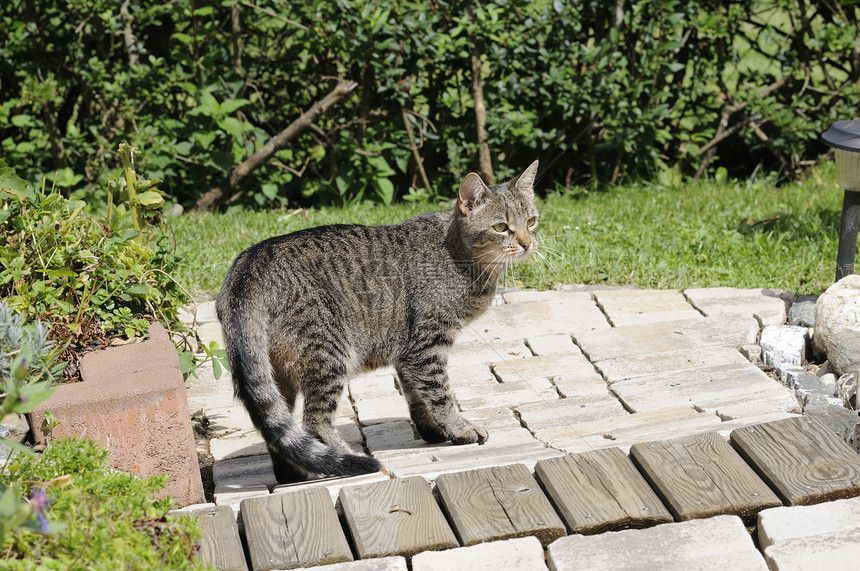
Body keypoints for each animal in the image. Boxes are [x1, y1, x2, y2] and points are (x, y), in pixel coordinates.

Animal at [215, 159, 536, 480]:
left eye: (531, 221)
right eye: (501, 227)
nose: (527, 243)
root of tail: (249, 263)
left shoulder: (408, 352)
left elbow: (416, 397)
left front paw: (434, 431)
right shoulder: (428, 344)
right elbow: (440, 394)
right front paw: (459, 428)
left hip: (278, 373)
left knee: (277, 429)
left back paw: (295, 473)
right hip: (329, 355)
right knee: (314, 421)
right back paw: (348, 459)